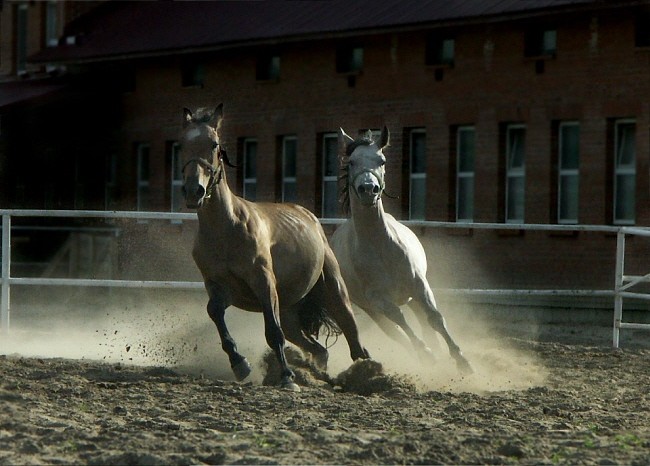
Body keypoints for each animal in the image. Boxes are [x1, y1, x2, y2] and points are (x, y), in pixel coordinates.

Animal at [180, 104, 368, 390]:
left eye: (213, 144)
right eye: (182, 145)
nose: (194, 191)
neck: (225, 228)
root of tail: (309, 216)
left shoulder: (264, 282)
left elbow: (272, 332)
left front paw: (287, 377)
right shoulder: (219, 286)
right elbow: (215, 312)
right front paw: (240, 363)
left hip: (333, 290)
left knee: (353, 336)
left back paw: (366, 372)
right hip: (291, 313)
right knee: (317, 349)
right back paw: (318, 375)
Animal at [330, 125, 470, 374]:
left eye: (382, 160)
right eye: (352, 162)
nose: (368, 189)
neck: (381, 248)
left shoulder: (420, 285)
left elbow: (435, 317)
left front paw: (461, 359)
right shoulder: (379, 300)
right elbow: (400, 320)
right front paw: (427, 354)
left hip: (411, 297)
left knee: (423, 321)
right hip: (372, 309)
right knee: (394, 332)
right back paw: (424, 354)